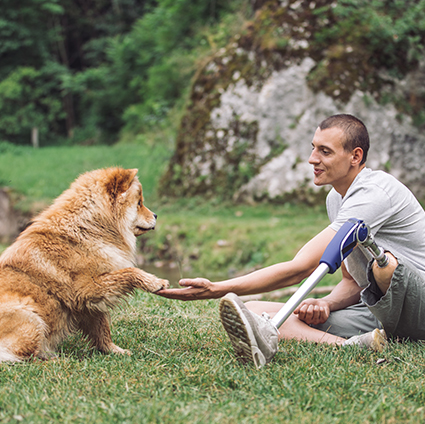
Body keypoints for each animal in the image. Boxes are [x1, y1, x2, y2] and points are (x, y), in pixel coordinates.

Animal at [0, 166, 169, 362]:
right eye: (139, 203)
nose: (156, 215)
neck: (87, 228)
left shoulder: (89, 304)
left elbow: (102, 330)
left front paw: (113, 351)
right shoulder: (87, 289)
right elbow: (130, 272)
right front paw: (155, 282)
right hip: (30, 317)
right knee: (25, 356)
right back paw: (56, 359)